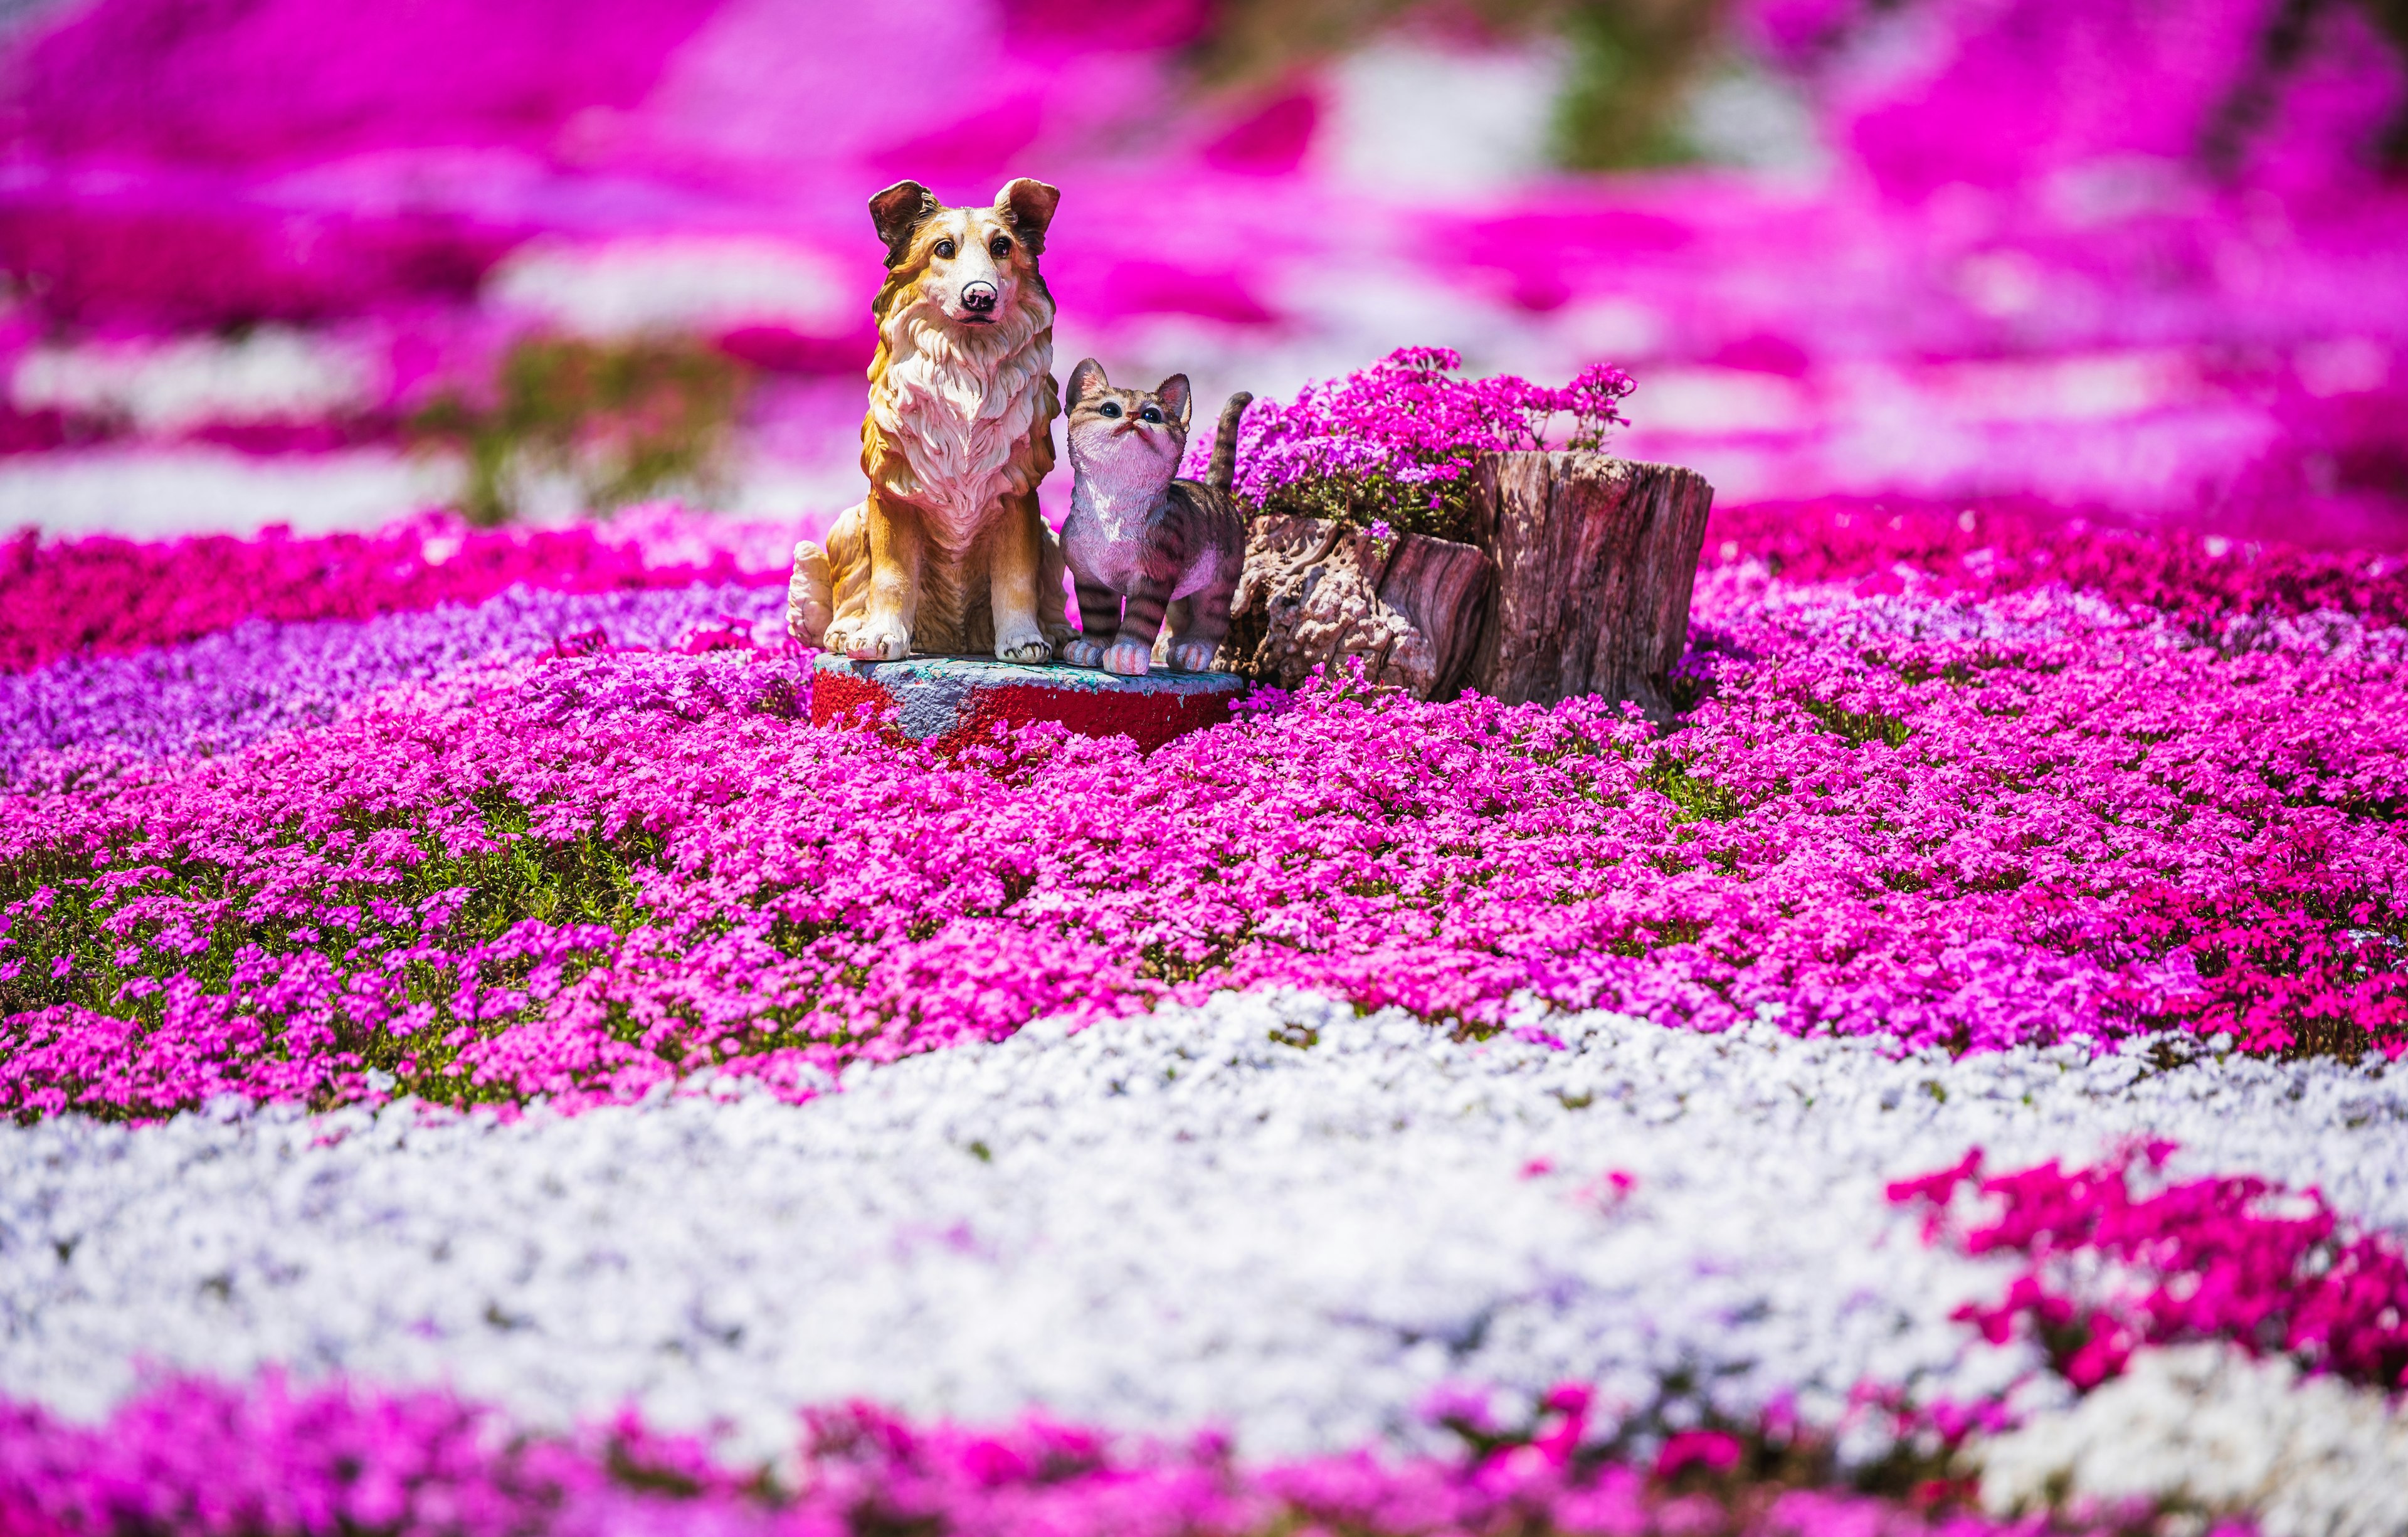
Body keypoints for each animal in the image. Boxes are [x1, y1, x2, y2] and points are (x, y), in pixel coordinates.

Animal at [789, 178, 1074, 665]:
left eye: (1002, 247)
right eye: (944, 248)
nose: (980, 296)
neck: (966, 370)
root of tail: (951, 640)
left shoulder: (1019, 498)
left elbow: (1016, 578)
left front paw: (1024, 641)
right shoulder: (893, 494)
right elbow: (891, 577)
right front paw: (879, 638)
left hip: (1051, 538)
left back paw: (1060, 635)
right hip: (849, 522)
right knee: (848, 591)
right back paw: (845, 631)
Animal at [1069, 361, 1262, 679]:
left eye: (1152, 415)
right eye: (1110, 410)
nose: (1134, 417)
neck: (1114, 504)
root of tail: (1215, 490)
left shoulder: (1154, 576)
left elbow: (1140, 619)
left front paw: (1126, 654)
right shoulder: (1089, 578)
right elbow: (1098, 618)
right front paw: (1089, 648)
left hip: (1219, 580)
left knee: (1213, 617)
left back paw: (1193, 652)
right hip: (1186, 584)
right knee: (1182, 614)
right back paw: (1170, 648)